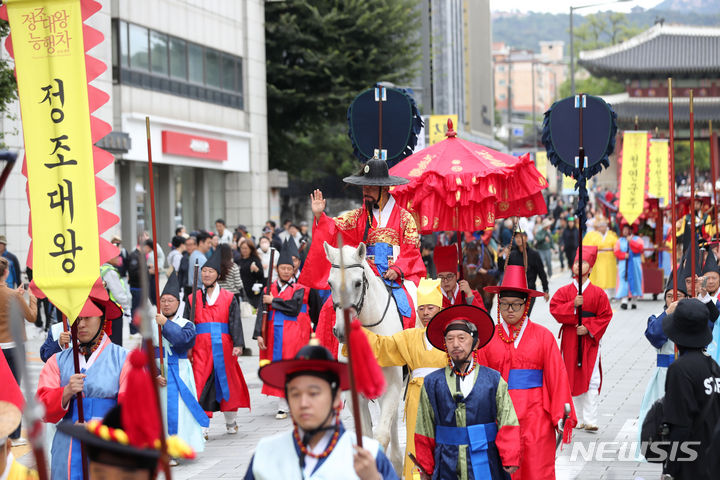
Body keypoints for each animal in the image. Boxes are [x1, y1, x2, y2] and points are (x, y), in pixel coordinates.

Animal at [324, 242, 408, 470]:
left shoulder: (392, 386)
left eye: (357, 283)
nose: (341, 331)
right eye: (330, 284)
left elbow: (381, 436)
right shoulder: (355, 395)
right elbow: (367, 437)